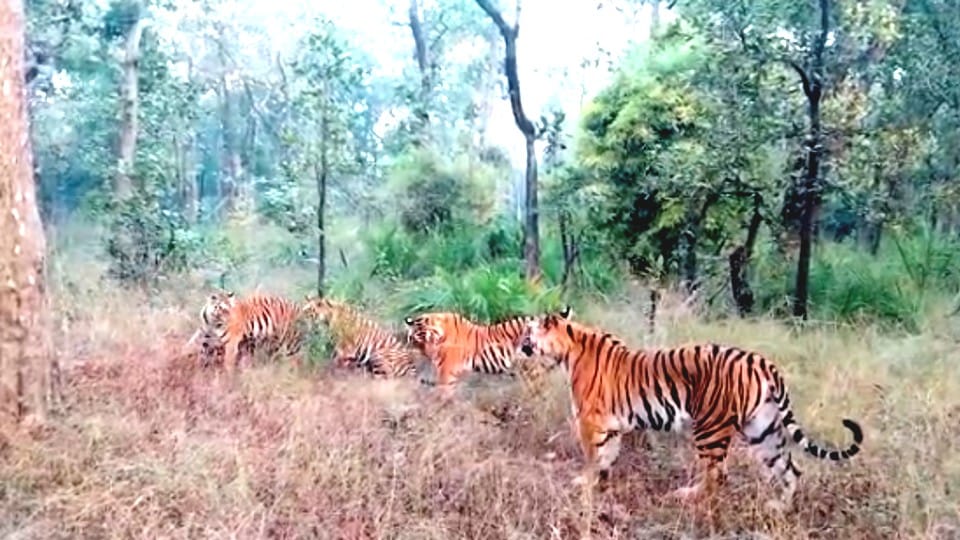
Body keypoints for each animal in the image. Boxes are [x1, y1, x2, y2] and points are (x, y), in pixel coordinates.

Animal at [517, 307, 864, 510]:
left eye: (527, 331)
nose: (521, 345)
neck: (569, 346)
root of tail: (761, 362)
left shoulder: (590, 421)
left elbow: (592, 456)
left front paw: (586, 484)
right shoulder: (612, 425)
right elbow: (606, 456)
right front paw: (600, 481)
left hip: (710, 428)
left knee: (717, 475)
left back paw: (688, 497)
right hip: (763, 430)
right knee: (791, 469)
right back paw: (780, 507)